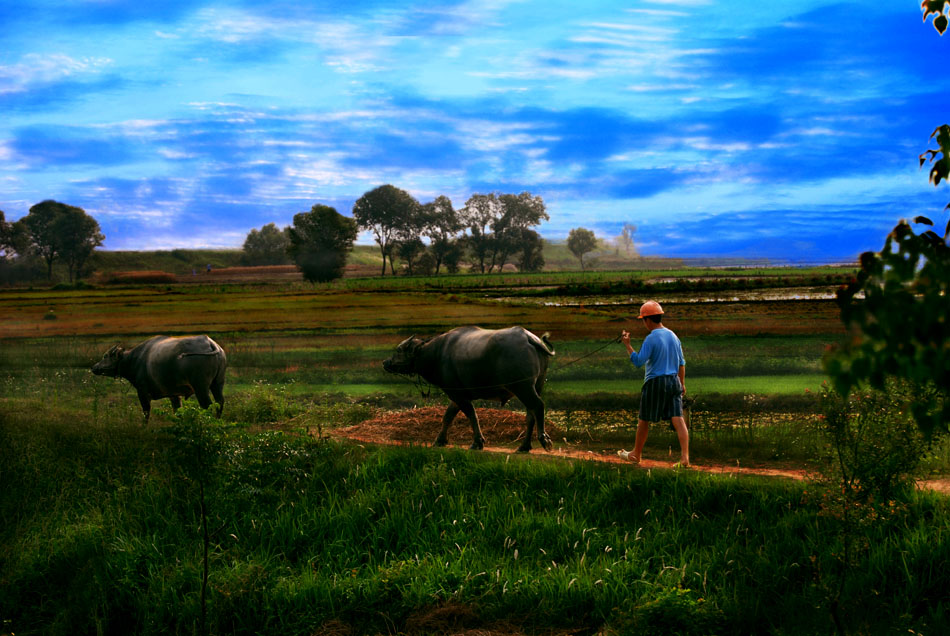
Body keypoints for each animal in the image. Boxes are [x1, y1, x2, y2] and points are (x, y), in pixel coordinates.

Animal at [91, 332, 229, 422]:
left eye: (105, 356)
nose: (94, 367)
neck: (134, 359)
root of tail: (210, 343)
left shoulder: (142, 392)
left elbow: (146, 412)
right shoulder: (174, 394)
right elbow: (177, 411)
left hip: (201, 387)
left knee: (208, 405)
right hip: (218, 383)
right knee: (219, 401)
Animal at [382, 328, 556, 452]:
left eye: (398, 350)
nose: (385, 362)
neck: (436, 354)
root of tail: (529, 338)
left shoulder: (457, 394)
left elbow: (472, 415)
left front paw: (478, 442)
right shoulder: (456, 395)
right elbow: (448, 416)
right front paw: (440, 440)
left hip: (522, 387)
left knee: (538, 406)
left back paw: (544, 439)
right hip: (537, 386)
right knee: (530, 414)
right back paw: (524, 446)